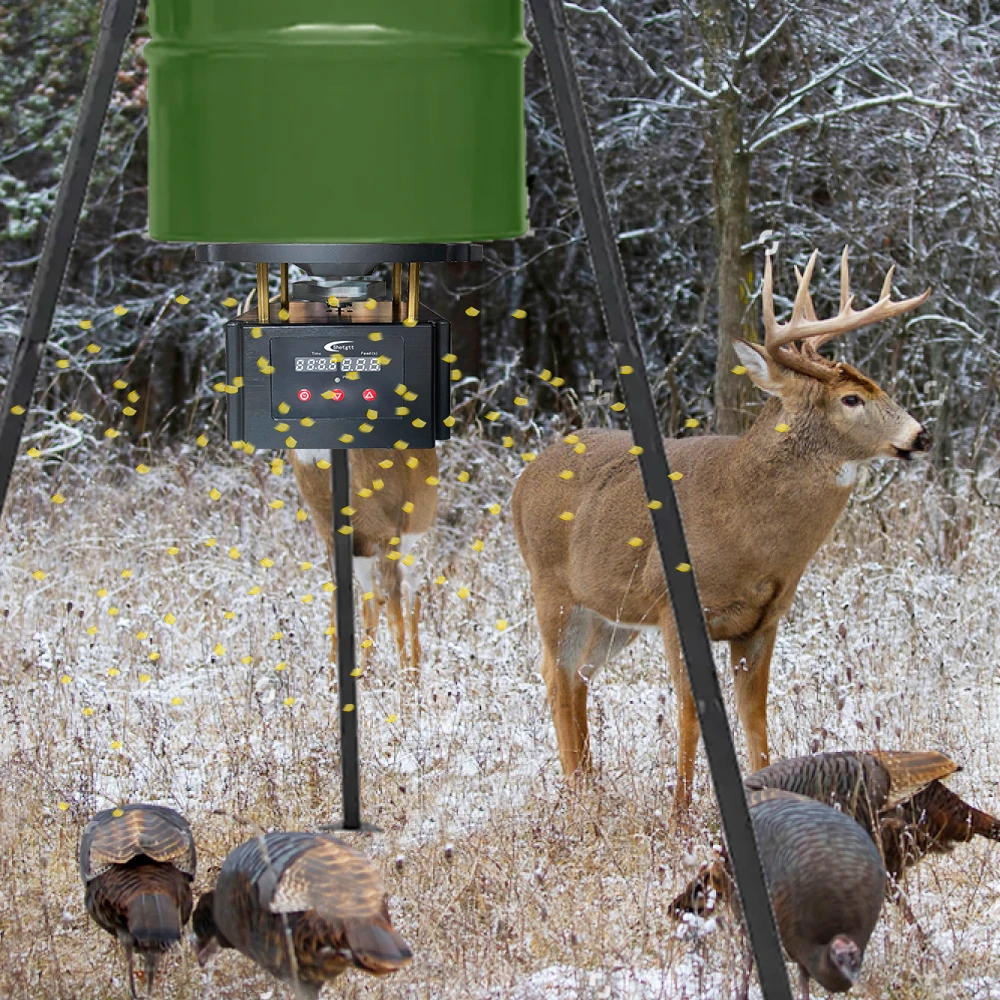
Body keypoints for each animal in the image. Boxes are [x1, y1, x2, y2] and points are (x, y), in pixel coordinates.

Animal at [290, 448, 438, 683]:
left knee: (411, 598)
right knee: (376, 600)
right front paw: (331, 685)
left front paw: (404, 689)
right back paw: (367, 676)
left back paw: (413, 679)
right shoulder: (335, 543)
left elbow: (396, 620)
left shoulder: (390, 534)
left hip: (415, 537)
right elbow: (335, 619)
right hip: (365, 554)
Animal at [511, 247, 931, 816]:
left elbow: (755, 717)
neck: (745, 529)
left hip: (612, 613)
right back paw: (578, 794)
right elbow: (691, 711)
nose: (921, 434)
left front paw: (766, 793)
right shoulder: (673, 607)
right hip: (552, 589)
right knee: (554, 675)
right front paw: (679, 815)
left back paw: (591, 785)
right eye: (850, 398)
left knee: (577, 676)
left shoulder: (764, 619)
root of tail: (524, 477)